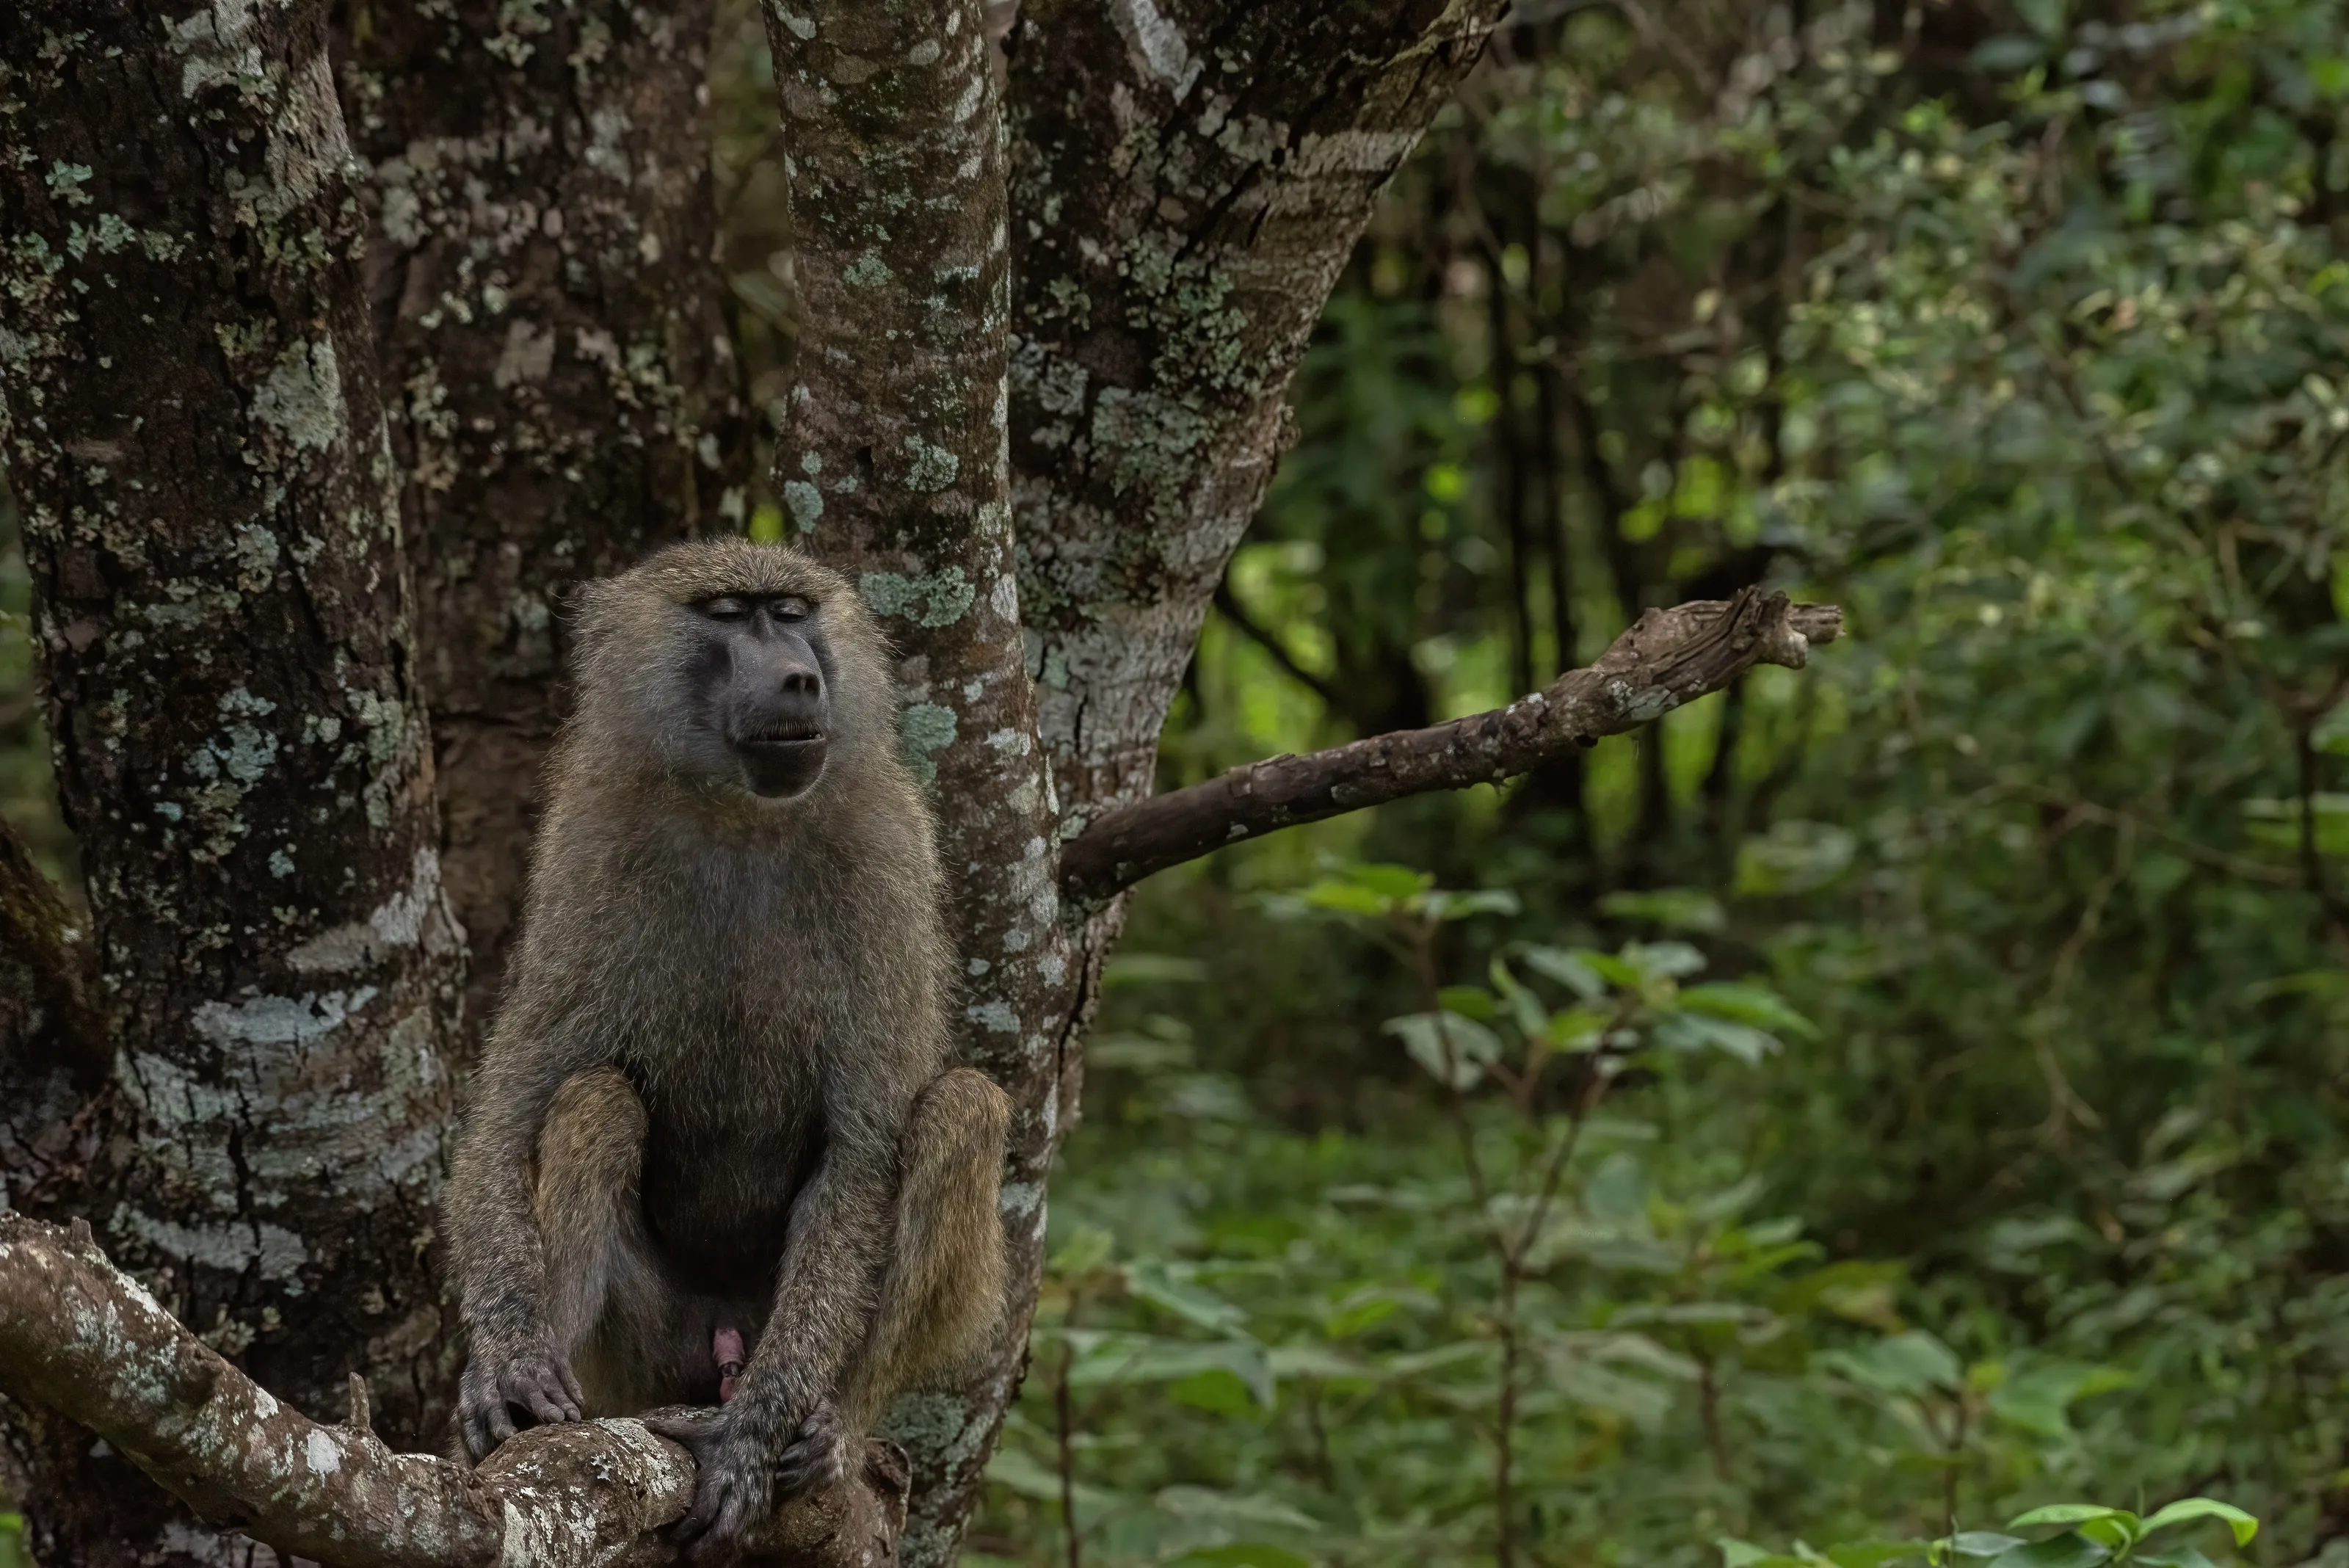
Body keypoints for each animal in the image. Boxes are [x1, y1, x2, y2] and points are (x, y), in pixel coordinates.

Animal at [441, 538, 1011, 1560]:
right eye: (727, 615)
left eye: (790, 612)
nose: (798, 677)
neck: (740, 815)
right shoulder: (586, 845)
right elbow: (507, 1120)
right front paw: (503, 1361)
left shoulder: (892, 855)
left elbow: (862, 1152)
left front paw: (756, 1435)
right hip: (644, 1352)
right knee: (594, 1099)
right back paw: (552, 1420)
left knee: (963, 1108)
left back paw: (828, 1429)